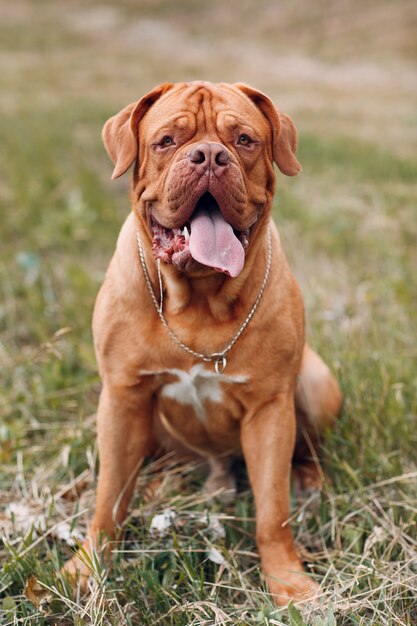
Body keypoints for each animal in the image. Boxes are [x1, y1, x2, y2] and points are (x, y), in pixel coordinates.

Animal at [62, 80, 342, 604]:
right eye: (167, 140)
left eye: (245, 140)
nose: (210, 155)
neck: (199, 301)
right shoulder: (122, 397)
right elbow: (109, 496)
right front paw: (86, 568)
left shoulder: (270, 409)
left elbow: (272, 510)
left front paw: (288, 582)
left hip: (315, 384)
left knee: (307, 451)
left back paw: (309, 481)